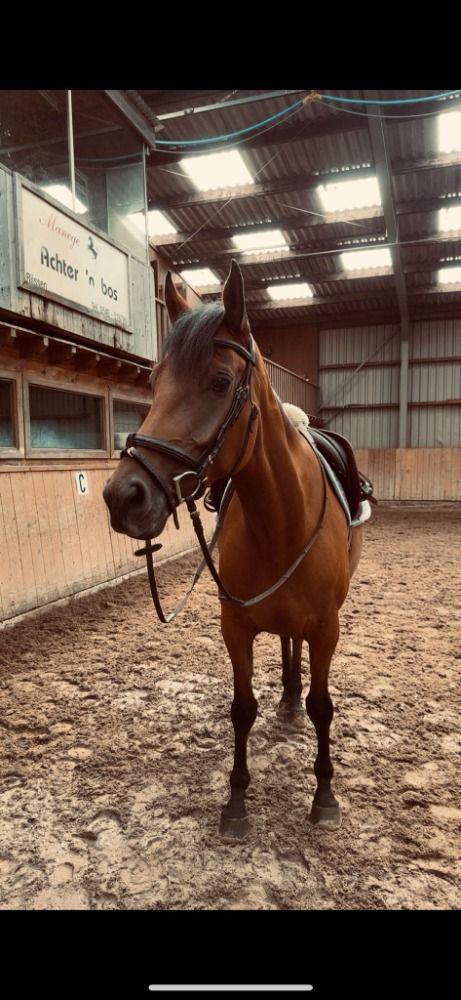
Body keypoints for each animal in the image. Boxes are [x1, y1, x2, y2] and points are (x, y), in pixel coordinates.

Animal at [103, 259, 366, 841]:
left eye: (220, 382)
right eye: (154, 382)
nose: (123, 496)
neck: (282, 520)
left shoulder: (326, 627)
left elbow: (323, 706)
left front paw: (325, 796)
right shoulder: (236, 625)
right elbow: (242, 708)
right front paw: (237, 802)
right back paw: (286, 699)